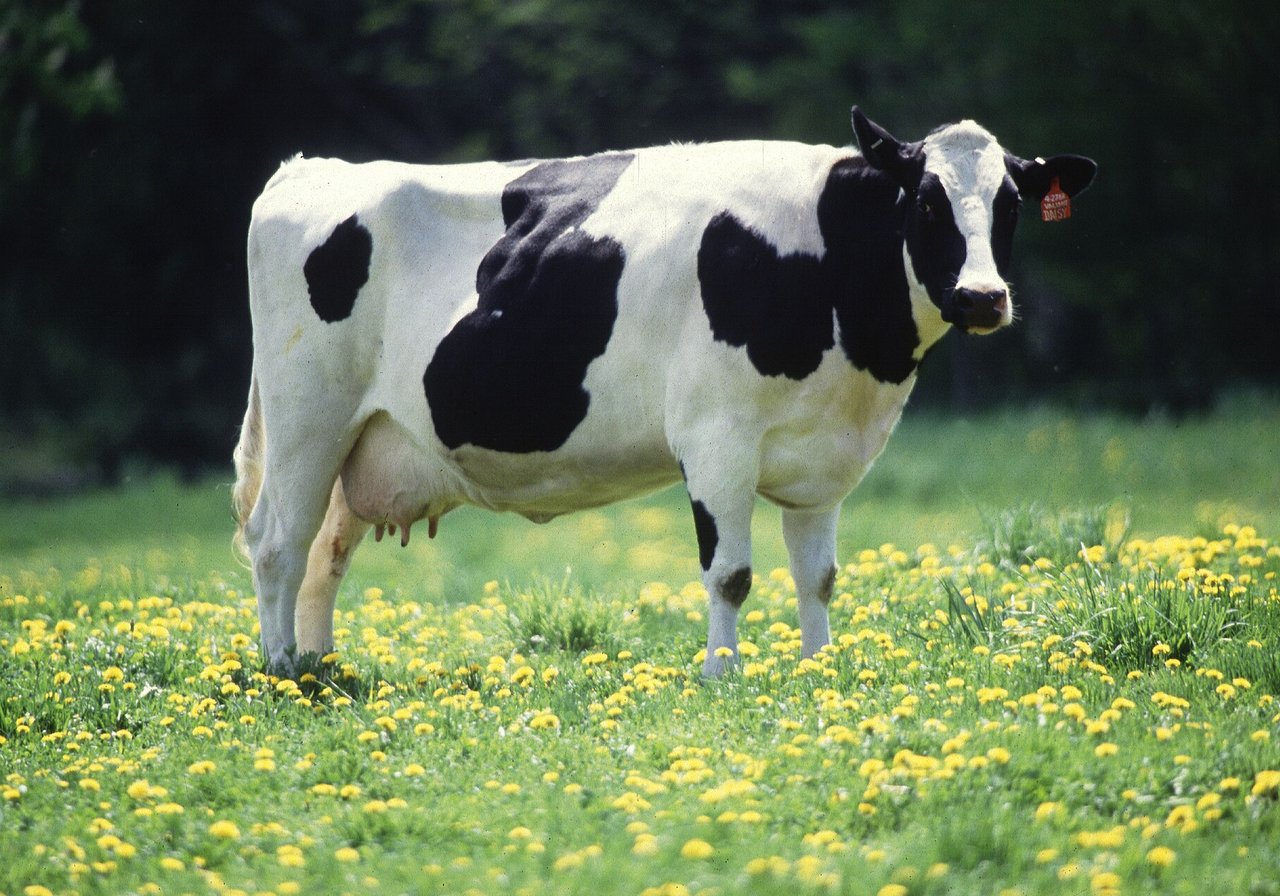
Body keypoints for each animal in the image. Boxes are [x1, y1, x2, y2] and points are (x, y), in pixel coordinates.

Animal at [232, 107, 1096, 676]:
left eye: (1011, 204)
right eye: (926, 200)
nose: (983, 297)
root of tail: (309, 169)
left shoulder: (823, 458)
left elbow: (817, 575)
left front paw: (819, 670)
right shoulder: (716, 437)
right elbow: (731, 573)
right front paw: (722, 675)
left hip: (363, 439)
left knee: (325, 552)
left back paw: (321, 668)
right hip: (308, 417)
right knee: (278, 542)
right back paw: (282, 673)